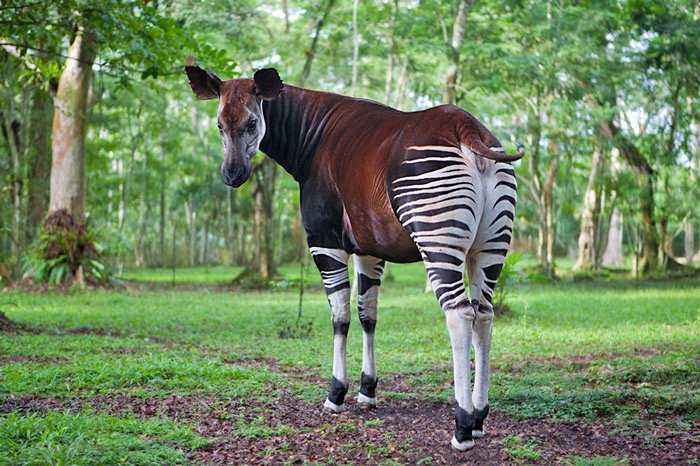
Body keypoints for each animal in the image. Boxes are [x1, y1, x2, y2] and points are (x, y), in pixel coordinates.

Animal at [186, 65, 523, 451]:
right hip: (490, 245)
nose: (232, 175)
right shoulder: (369, 248)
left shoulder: (324, 240)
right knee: (485, 314)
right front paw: (367, 391)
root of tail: (468, 126)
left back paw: (463, 426)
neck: (310, 138)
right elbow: (368, 315)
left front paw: (336, 393)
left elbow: (340, 317)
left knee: (460, 315)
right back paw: (480, 417)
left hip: (438, 237)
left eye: (253, 123)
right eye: (219, 125)